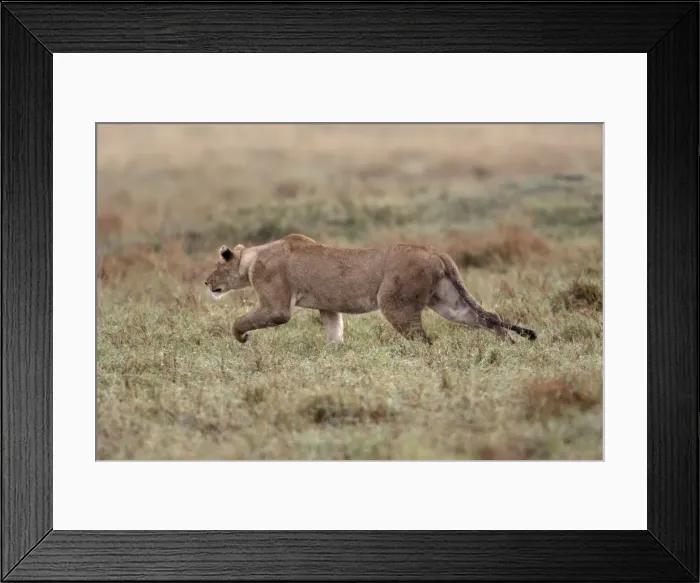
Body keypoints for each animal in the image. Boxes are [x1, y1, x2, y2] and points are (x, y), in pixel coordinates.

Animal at [204, 233, 537, 345]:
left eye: (216, 265)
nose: (206, 283)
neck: (252, 259)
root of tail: (435, 251)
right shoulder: (328, 306)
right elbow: (334, 332)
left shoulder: (276, 307)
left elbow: (241, 321)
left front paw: (243, 338)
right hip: (449, 303)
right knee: (489, 316)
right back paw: (506, 345)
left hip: (394, 303)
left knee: (426, 340)